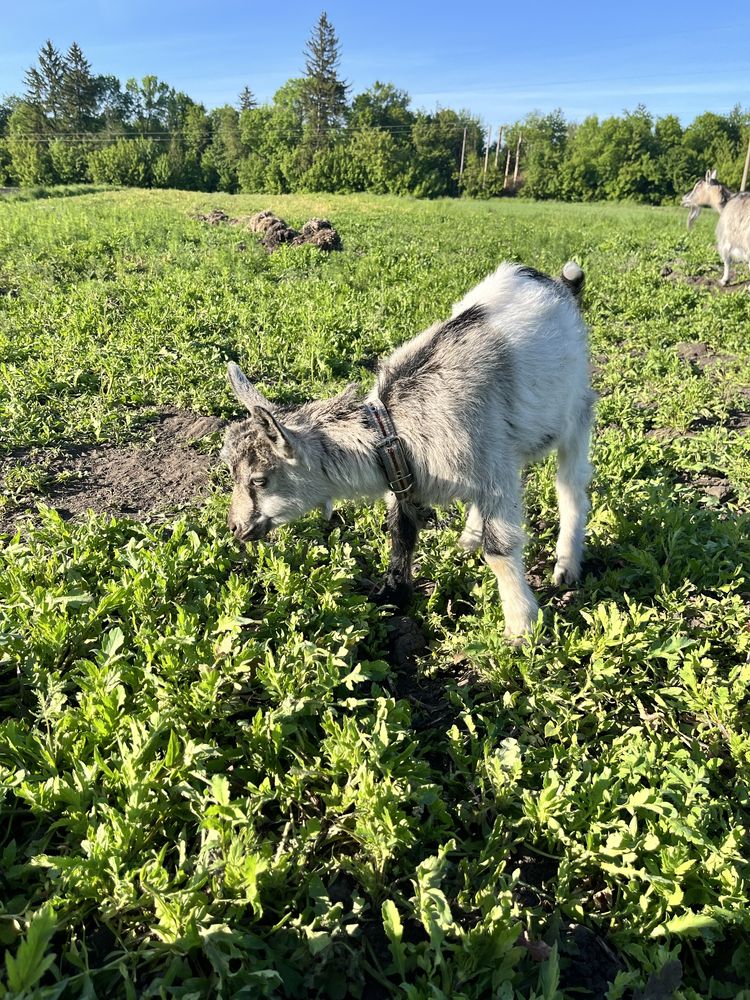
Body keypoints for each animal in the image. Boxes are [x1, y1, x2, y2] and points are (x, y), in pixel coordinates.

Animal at [220, 264, 596, 640]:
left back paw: (566, 566)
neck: (396, 426)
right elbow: (400, 533)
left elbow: (499, 550)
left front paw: (522, 627)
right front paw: (393, 596)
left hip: (575, 411)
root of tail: (556, 283)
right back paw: (467, 540)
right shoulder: (404, 475)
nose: (235, 527)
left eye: (260, 479)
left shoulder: (495, 474)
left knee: (571, 487)